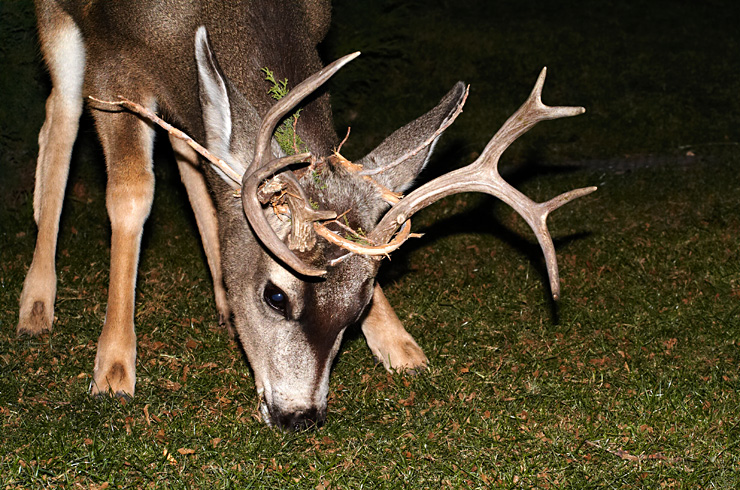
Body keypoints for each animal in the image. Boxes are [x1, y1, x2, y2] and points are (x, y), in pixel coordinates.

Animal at [18, 0, 596, 428]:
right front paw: (114, 366)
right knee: (59, 120)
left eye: (359, 306)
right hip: (60, 29)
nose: (300, 416)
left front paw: (398, 343)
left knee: (187, 154)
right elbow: (132, 194)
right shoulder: (113, 63)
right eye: (275, 296)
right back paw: (36, 305)